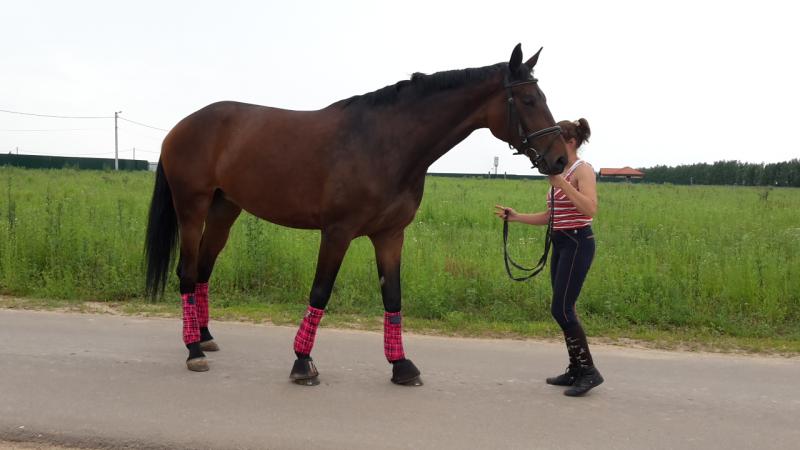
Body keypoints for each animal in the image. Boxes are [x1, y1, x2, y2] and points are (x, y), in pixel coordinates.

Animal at [144, 43, 568, 386]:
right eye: (528, 100)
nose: (560, 159)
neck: (385, 143)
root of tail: (181, 126)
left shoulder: (390, 235)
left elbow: (393, 296)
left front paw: (401, 366)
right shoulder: (337, 232)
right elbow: (320, 290)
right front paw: (303, 363)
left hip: (224, 209)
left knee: (203, 270)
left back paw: (204, 337)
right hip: (192, 208)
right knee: (187, 272)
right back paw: (193, 351)